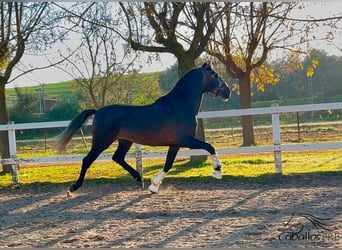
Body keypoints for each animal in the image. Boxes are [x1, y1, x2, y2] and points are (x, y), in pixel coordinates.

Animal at [57, 62, 231, 193]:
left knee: (117, 157)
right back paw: (73, 188)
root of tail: (98, 111)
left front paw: (153, 186)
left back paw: (139, 178)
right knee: (87, 160)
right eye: (215, 75)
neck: (180, 105)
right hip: (102, 142)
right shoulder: (186, 140)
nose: (227, 92)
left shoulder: (175, 143)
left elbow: (168, 164)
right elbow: (209, 147)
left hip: (125, 141)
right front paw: (217, 171)